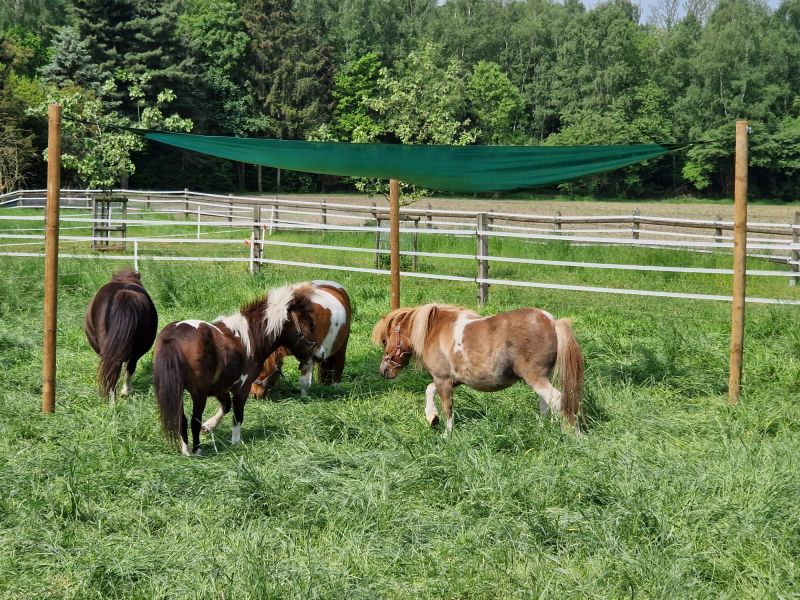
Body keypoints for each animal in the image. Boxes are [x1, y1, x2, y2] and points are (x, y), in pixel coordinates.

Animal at [85, 270, 159, 406]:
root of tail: (124, 293)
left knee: (113, 369)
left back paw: (112, 399)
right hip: (138, 348)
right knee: (130, 367)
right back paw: (124, 393)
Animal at [153, 282, 318, 454]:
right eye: (310, 327)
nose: (317, 355)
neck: (251, 337)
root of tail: (173, 337)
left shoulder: (221, 387)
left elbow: (226, 407)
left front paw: (209, 426)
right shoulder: (242, 387)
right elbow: (237, 414)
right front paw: (236, 441)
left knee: (180, 418)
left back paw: (186, 450)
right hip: (199, 394)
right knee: (193, 420)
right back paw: (196, 450)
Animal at [372, 302, 584, 434]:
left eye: (385, 341)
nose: (383, 371)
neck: (433, 331)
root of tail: (552, 322)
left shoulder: (443, 380)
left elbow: (447, 407)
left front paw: (447, 434)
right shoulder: (453, 380)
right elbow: (429, 390)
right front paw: (432, 417)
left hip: (535, 377)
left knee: (556, 399)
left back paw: (568, 432)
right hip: (542, 377)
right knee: (544, 404)